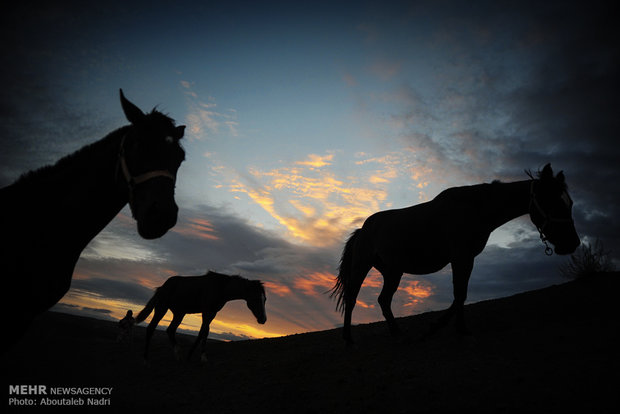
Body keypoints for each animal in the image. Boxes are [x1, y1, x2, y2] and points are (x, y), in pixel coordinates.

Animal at [136, 270, 266, 360]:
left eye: (265, 299)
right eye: (256, 299)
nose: (263, 319)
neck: (220, 288)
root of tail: (162, 287)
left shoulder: (212, 313)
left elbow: (204, 332)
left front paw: (194, 355)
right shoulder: (206, 312)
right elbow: (203, 332)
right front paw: (199, 356)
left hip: (179, 313)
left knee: (170, 330)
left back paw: (178, 354)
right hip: (161, 308)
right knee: (151, 328)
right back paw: (146, 358)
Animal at [334, 163, 580, 344]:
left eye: (569, 203)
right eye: (552, 201)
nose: (572, 244)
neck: (474, 209)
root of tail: (363, 229)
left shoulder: (467, 258)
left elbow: (461, 294)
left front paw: (459, 328)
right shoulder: (460, 257)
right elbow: (459, 294)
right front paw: (438, 327)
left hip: (393, 272)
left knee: (384, 300)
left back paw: (397, 333)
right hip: (362, 266)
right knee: (352, 297)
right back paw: (348, 338)